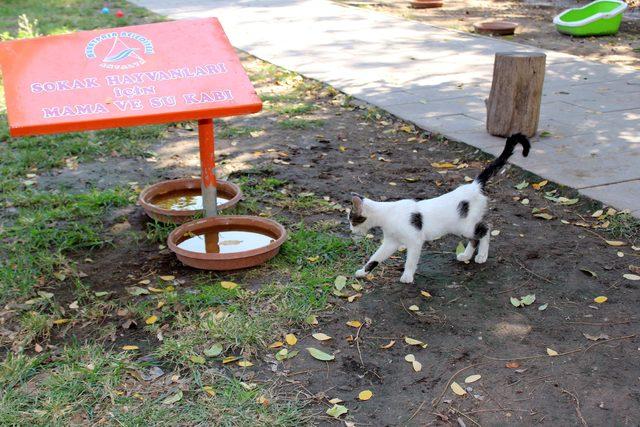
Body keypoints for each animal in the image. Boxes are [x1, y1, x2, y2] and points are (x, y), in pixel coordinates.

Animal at [350, 135, 528, 284]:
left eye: (352, 220)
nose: (351, 230)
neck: (388, 214)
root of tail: (474, 185)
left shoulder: (415, 240)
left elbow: (411, 260)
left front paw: (407, 276)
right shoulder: (391, 242)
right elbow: (375, 258)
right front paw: (362, 272)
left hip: (466, 227)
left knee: (486, 229)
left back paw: (482, 255)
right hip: (462, 228)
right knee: (475, 237)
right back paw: (466, 255)